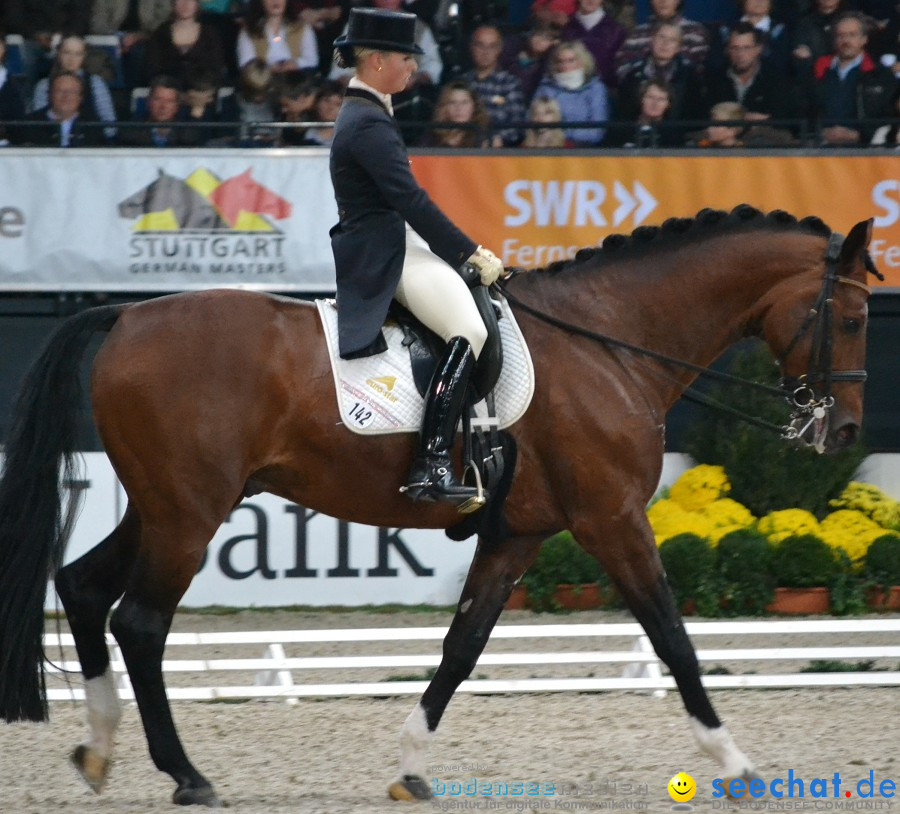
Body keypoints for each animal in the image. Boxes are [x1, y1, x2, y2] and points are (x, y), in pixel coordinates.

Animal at [0, 206, 876, 808]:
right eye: (856, 316)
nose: (844, 431)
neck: (609, 343)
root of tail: (127, 312)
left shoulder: (519, 533)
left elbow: (462, 648)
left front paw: (410, 766)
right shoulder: (613, 519)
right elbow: (673, 638)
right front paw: (735, 764)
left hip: (164, 504)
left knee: (83, 587)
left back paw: (100, 750)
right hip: (190, 512)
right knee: (140, 622)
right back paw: (186, 775)